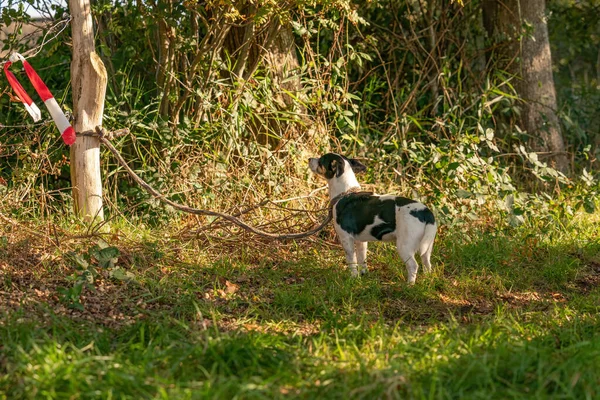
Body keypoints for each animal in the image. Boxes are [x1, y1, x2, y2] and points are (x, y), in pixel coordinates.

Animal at [310, 153, 436, 284]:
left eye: (321, 160)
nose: (309, 159)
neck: (345, 193)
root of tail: (426, 212)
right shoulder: (361, 241)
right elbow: (362, 259)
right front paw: (363, 275)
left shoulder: (346, 238)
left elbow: (352, 261)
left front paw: (353, 278)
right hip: (427, 246)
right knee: (427, 263)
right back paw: (427, 280)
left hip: (404, 246)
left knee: (413, 265)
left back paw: (410, 285)